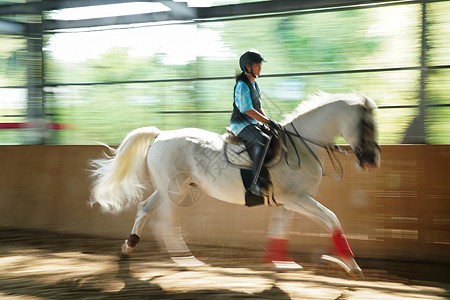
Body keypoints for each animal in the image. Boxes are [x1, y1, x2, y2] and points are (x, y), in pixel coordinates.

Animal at [90, 91, 380, 278]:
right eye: (366, 125)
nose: (372, 160)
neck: (301, 145)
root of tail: (161, 135)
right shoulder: (296, 198)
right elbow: (332, 219)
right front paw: (351, 265)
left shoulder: (288, 202)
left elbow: (279, 229)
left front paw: (280, 264)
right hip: (174, 191)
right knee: (166, 223)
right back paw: (187, 261)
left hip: (169, 189)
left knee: (144, 208)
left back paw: (128, 247)